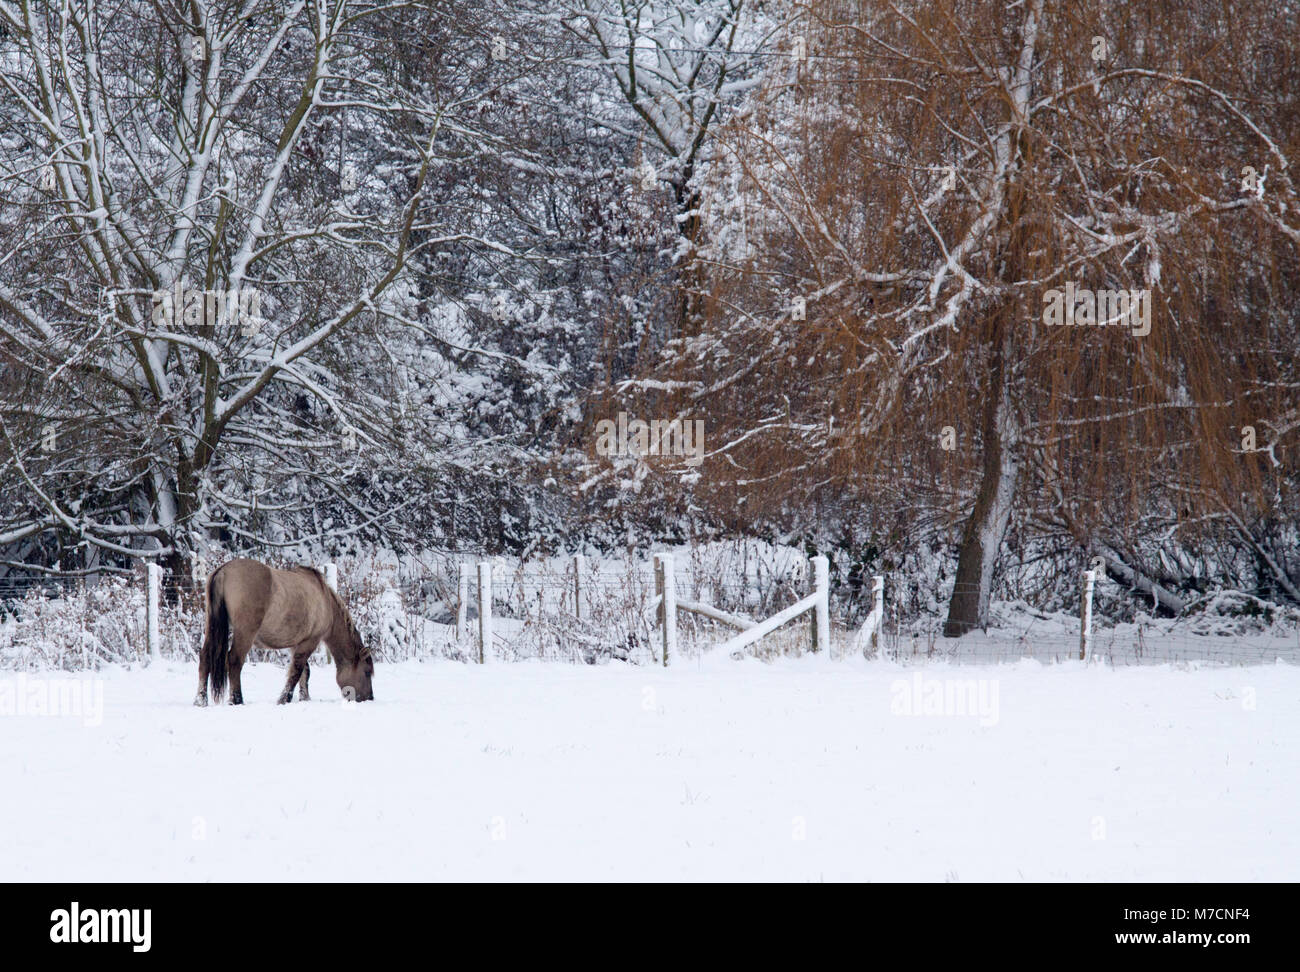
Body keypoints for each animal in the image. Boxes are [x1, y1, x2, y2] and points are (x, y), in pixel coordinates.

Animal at [194, 558, 374, 706]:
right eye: (366, 672)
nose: (369, 698)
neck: (325, 600)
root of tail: (224, 570)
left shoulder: (296, 643)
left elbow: (304, 671)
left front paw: (304, 697)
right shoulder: (310, 641)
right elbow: (297, 671)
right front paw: (284, 698)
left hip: (212, 626)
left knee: (205, 657)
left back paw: (200, 700)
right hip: (245, 632)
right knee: (235, 660)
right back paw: (236, 699)